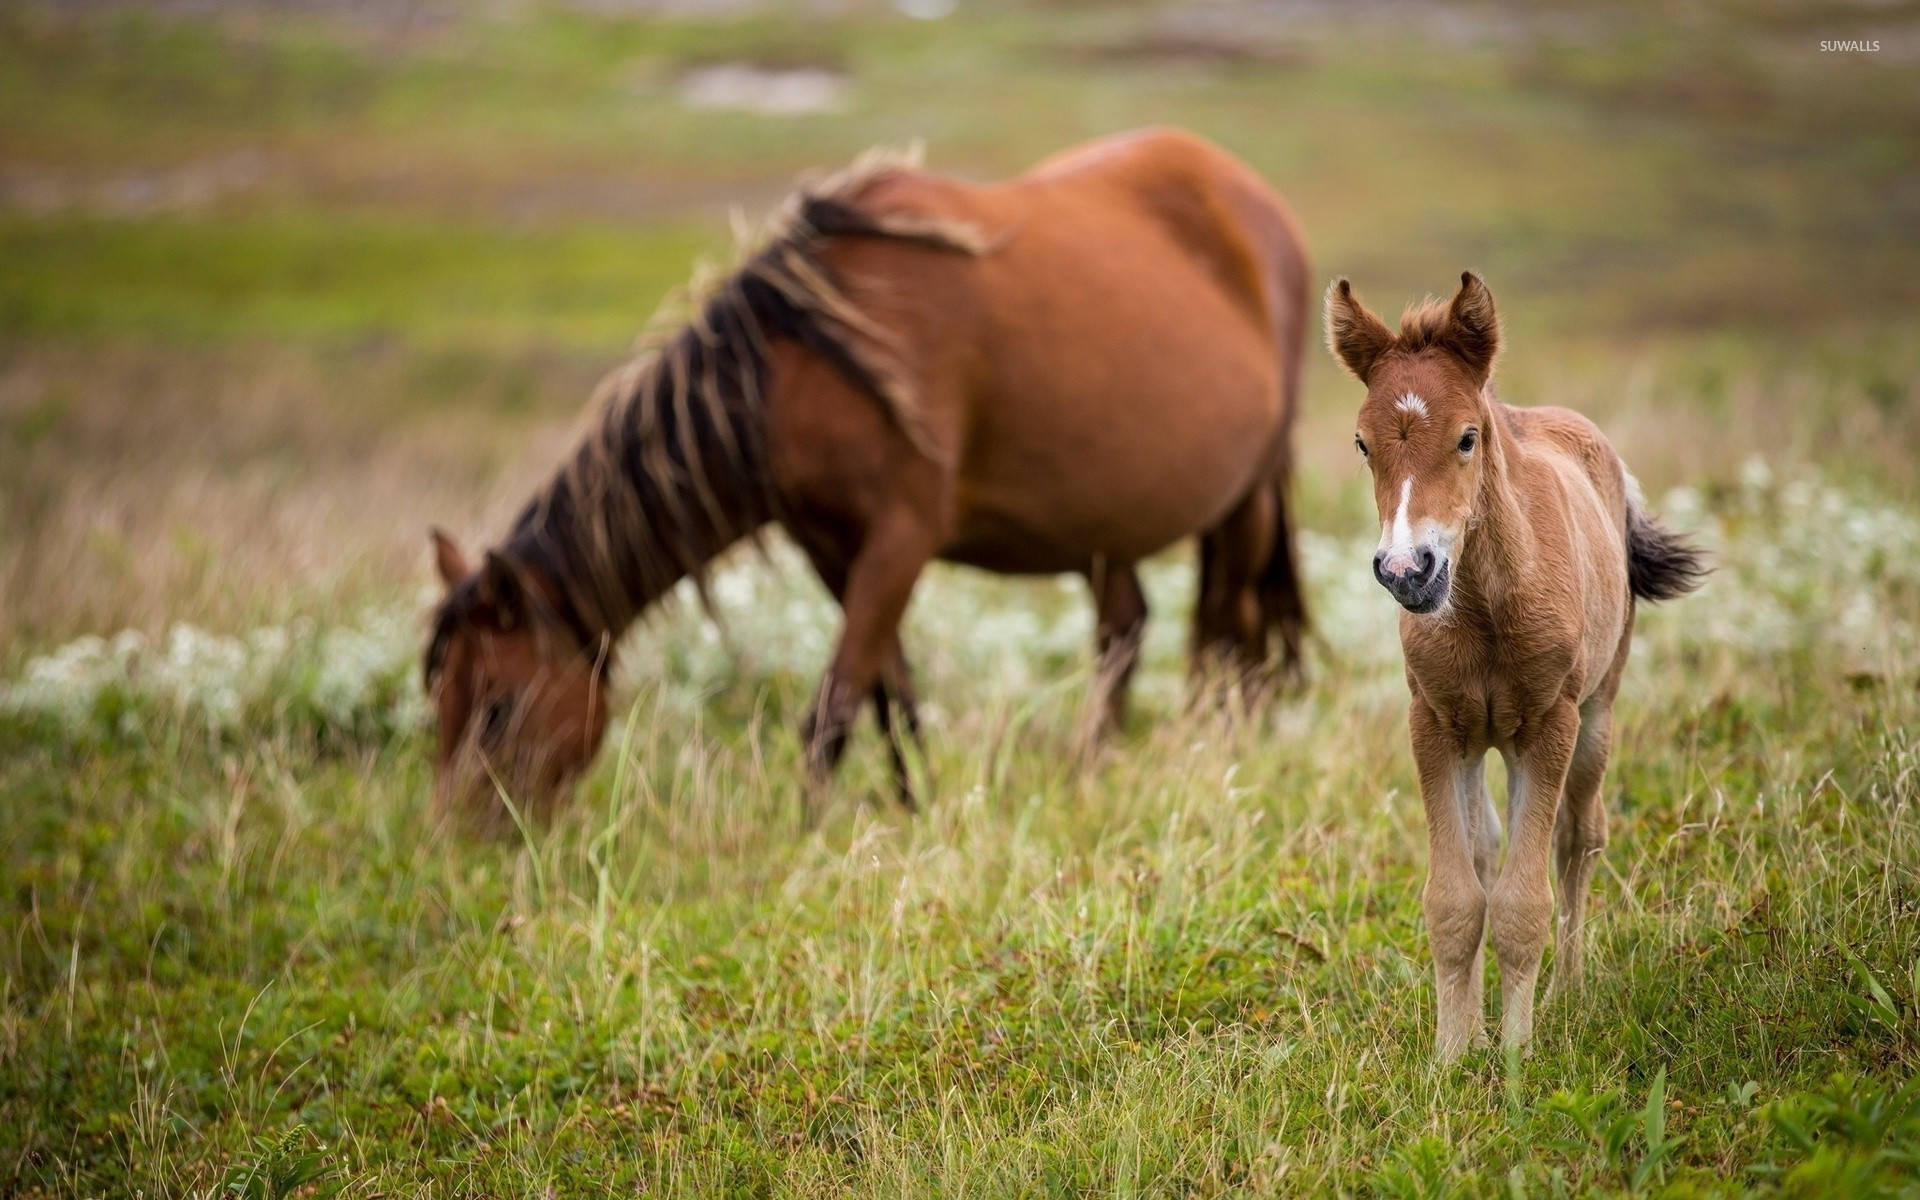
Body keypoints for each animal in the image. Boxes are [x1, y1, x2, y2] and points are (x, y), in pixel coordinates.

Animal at [428, 130, 1313, 821]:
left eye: (497, 708)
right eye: (439, 703)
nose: (461, 846)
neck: (799, 371)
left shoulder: (901, 540)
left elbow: (835, 704)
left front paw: (806, 833)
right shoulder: (833, 550)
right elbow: (892, 696)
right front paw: (914, 806)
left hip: (1248, 498)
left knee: (1233, 633)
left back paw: (1219, 751)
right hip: (1101, 522)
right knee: (1125, 631)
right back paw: (1088, 769)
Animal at [1320, 274, 1712, 1059]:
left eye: (1467, 437)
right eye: (1362, 443)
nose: (1407, 571)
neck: (1487, 610)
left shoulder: (1549, 724)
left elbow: (1522, 902)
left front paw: (1517, 1058)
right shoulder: (1436, 725)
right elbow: (1455, 897)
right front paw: (1452, 1054)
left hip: (1595, 712)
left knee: (1578, 837)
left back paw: (1568, 994)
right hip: (1483, 739)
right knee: (1485, 849)